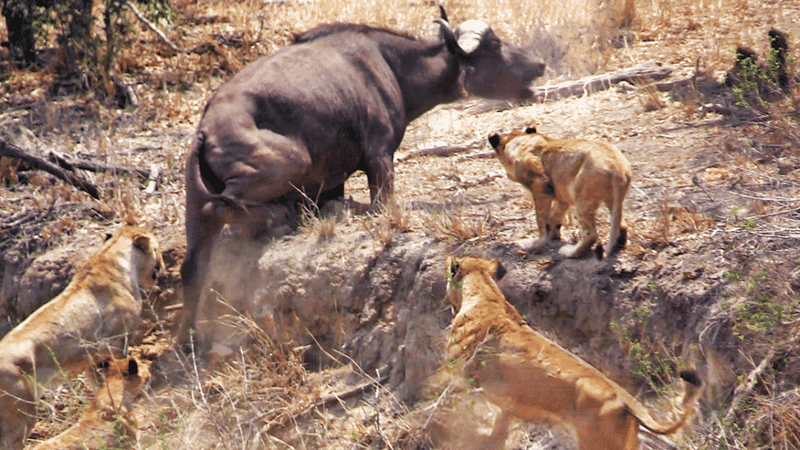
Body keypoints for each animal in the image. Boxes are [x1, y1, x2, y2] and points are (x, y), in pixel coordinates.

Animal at [178, 11, 548, 348]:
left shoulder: (332, 184)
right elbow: (383, 202)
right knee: (222, 206)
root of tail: (206, 129)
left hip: (196, 216)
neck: (390, 66)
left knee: (192, 266)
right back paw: (279, 216)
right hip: (288, 163)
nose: (540, 64)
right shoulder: (379, 156)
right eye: (495, 45)